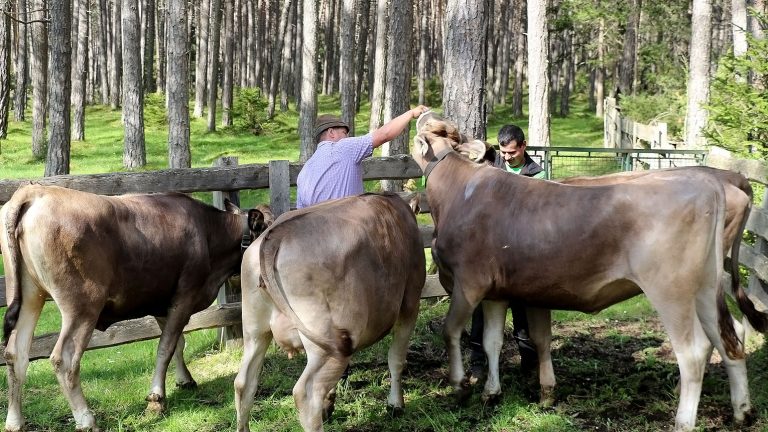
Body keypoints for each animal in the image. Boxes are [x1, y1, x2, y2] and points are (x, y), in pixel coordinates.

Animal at [0, 184, 272, 430]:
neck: (209, 234)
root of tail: (35, 192)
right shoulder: (185, 294)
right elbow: (166, 346)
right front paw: (156, 398)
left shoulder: (163, 302)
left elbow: (177, 343)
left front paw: (184, 380)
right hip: (82, 305)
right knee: (64, 358)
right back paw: (86, 420)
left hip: (28, 295)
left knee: (16, 353)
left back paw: (15, 422)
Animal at [234, 194, 426, 432]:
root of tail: (276, 235)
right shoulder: (410, 302)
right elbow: (396, 359)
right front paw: (396, 404)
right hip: (329, 343)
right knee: (306, 394)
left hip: (255, 330)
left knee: (244, 383)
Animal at [412, 115, 752, 432]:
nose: (422, 114)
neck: (459, 191)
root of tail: (711, 183)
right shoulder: (496, 291)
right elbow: (492, 340)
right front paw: (492, 393)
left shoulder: (468, 283)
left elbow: (451, 331)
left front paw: (460, 387)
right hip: (705, 286)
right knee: (729, 336)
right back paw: (742, 412)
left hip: (671, 290)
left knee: (693, 351)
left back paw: (683, 421)